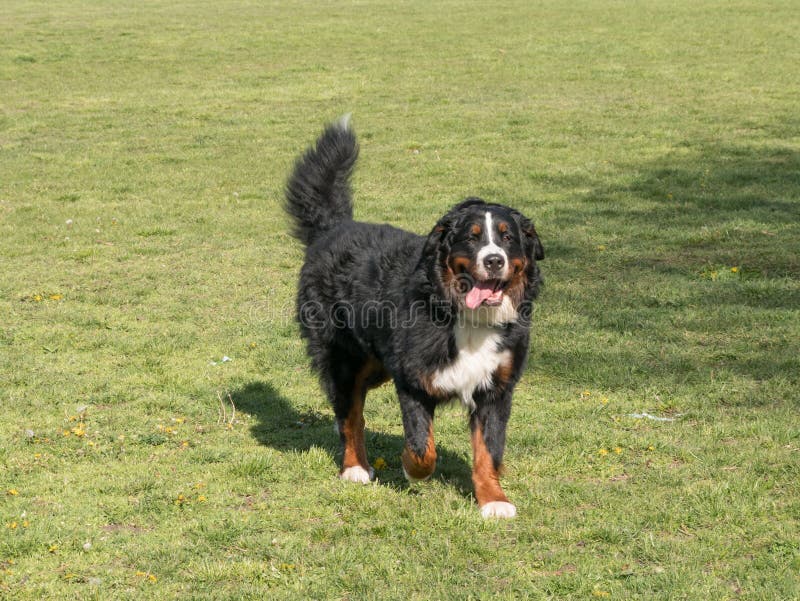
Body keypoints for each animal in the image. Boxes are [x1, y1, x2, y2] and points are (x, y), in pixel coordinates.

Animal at [282, 116, 544, 516]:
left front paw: (494, 499)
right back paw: (355, 467)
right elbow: (423, 449)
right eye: (472, 238)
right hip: (344, 359)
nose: (493, 260)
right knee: (349, 414)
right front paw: (410, 468)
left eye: (507, 238)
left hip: (375, 365)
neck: (464, 317)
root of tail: (333, 227)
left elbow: (488, 450)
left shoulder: (495, 389)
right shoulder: (414, 380)